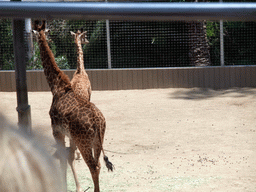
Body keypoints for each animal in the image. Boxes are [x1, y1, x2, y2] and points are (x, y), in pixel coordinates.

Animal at [32, 20, 112, 191]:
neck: (56, 86)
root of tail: (98, 121)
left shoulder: (56, 130)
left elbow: (63, 159)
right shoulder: (70, 134)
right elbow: (68, 157)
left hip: (84, 141)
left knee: (93, 166)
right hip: (97, 140)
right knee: (99, 164)